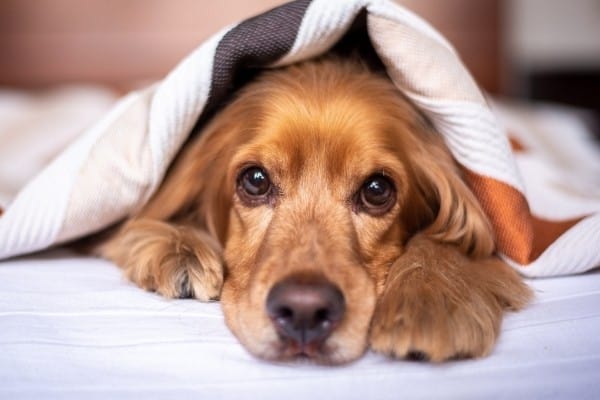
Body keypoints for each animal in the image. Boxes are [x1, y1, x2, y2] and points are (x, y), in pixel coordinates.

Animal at [97, 56, 528, 366]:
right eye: (255, 180)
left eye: (376, 190)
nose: (304, 311)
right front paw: (180, 248)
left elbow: (455, 240)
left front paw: (429, 298)